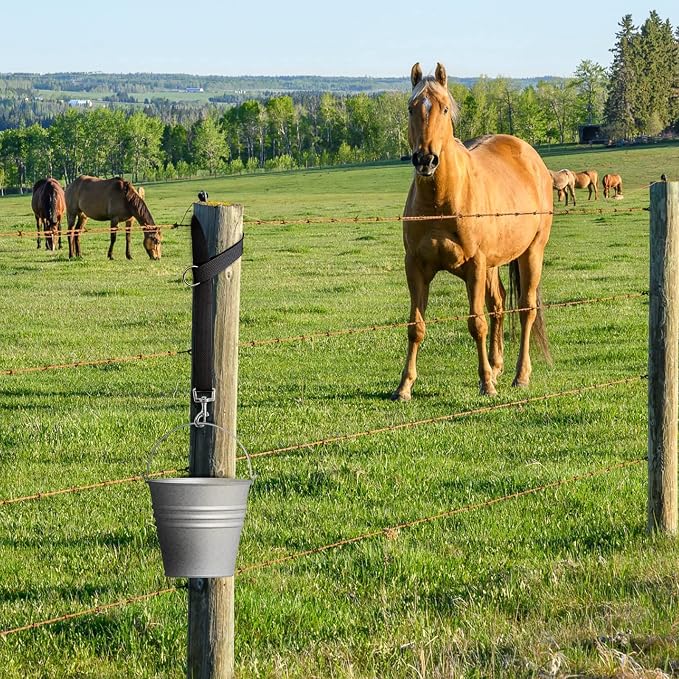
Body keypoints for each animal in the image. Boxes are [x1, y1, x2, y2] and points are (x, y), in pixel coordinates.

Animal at [393, 62, 553, 399]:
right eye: (412, 107)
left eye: (443, 108)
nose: (425, 159)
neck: (440, 200)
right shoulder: (415, 266)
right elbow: (416, 326)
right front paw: (404, 386)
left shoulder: (475, 265)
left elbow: (476, 322)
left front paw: (486, 383)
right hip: (494, 264)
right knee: (499, 305)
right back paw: (498, 365)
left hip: (532, 252)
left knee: (525, 308)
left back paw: (520, 375)